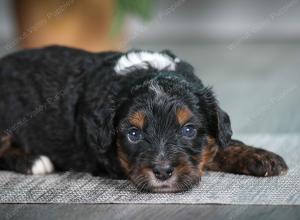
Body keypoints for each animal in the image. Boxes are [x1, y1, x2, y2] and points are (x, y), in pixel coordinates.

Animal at [0, 46, 288, 192]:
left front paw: (262, 157)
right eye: (134, 134)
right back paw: (34, 161)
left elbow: (219, 144)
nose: (162, 172)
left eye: (188, 130)